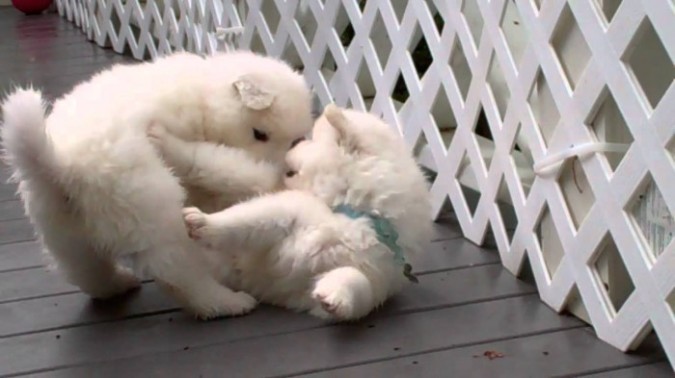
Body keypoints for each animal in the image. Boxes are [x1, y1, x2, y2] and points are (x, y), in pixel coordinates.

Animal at [1, 50, 314, 318]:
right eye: (259, 133)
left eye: (294, 141)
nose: (279, 173)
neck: (204, 98)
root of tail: (58, 164)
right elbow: (220, 165)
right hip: (156, 211)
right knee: (179, 274)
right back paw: (227, 303)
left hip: (64, 233)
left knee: (86, 271)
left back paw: (118, 284)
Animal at [152, 105, 434, 320]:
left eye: (313, 138)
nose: (297, 141)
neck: (350, 210)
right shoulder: (286, 211)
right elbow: (245, 220)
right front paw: (206, 224)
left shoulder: (377, 276)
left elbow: (356, 281)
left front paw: (334, 296)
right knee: (214, 164)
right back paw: (164, 141)